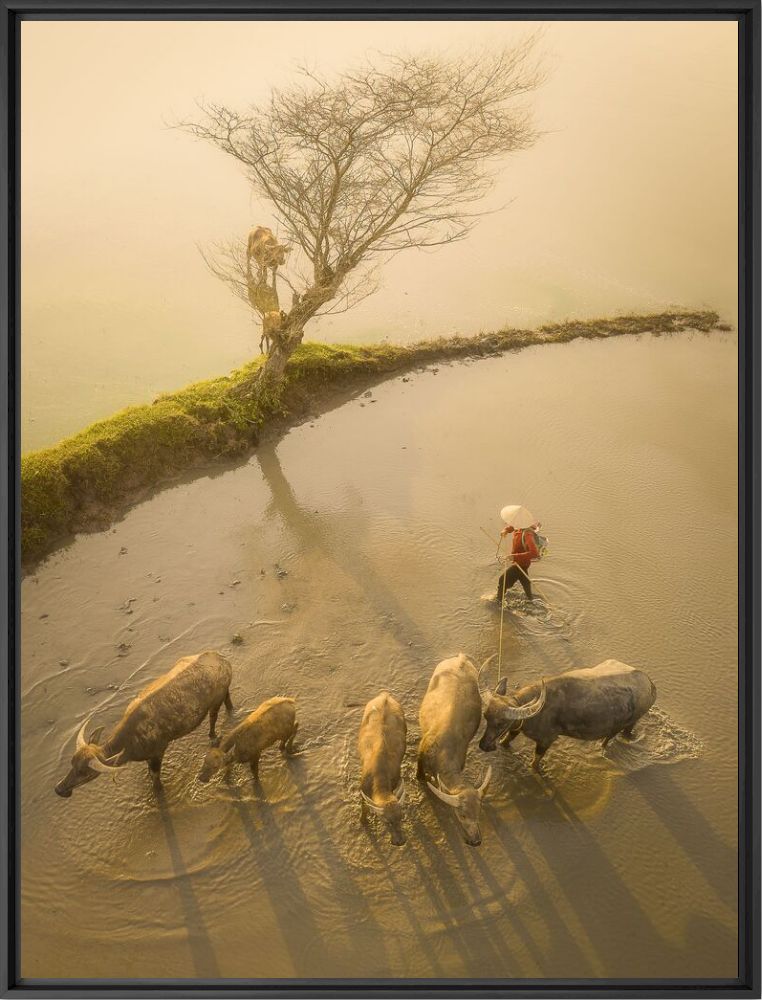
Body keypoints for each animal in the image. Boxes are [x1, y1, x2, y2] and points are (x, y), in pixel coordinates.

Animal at [54, 652, 232, 800]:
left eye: (84, 772)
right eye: (72, 763)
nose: (59, 789)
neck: (130, 739)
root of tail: (221, 658)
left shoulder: (158, 753)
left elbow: (156, 778)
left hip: (215, 703)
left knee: (213, 718)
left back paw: (213, 737)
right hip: (225, 694)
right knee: (228, 702)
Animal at [360, 692, 406, 848]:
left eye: (401, 816)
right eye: (386, 821)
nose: (400, 841)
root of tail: (385, 694)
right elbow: (364, 807)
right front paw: (363, 821)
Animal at [480, 660, 652, 768]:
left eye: (501, 723)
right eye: (485, 716)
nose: (483, 745)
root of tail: (651, 685)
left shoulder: (546, 741)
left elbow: (535, 764)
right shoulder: (515, 729)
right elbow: (506, 740)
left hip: (623, 725)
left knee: (610, 738)